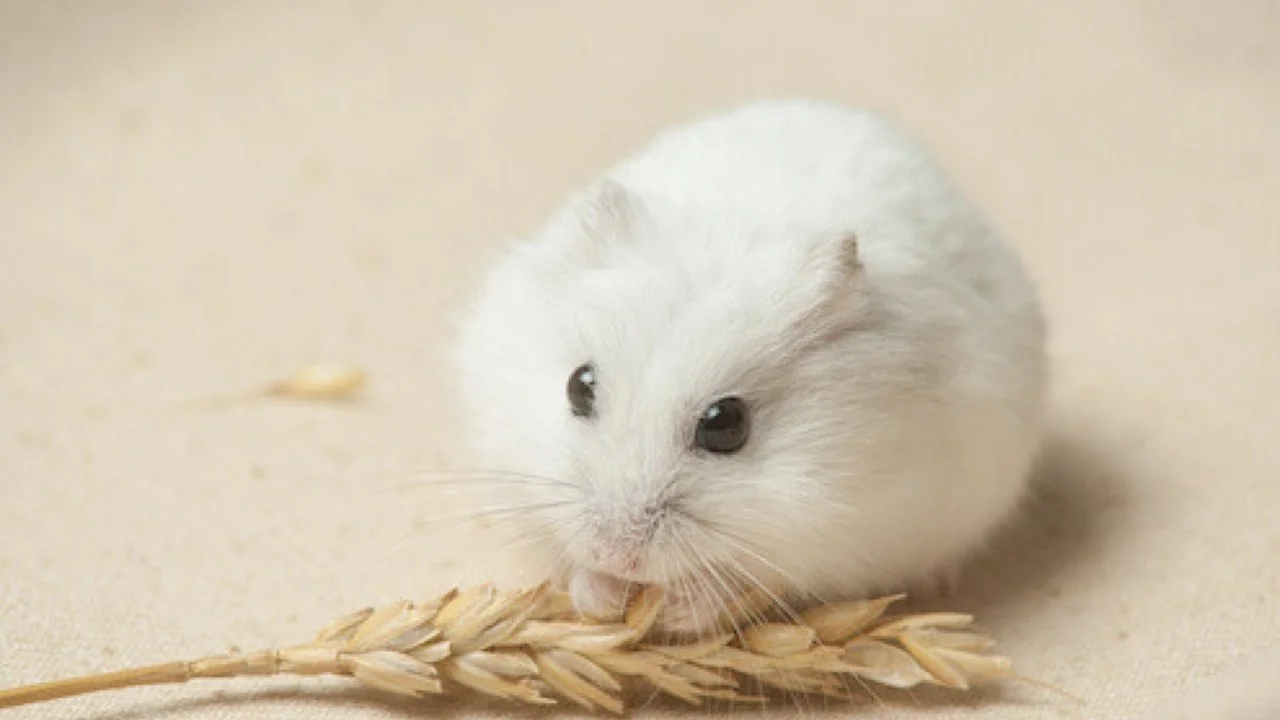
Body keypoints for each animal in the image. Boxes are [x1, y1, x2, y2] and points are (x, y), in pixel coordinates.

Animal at [452, 99, 1047, 635]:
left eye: (726, 425)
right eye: (579, 387)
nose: (617, 555)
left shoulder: (844, 536)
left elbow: (751, 582)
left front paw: (673, 609)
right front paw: (602, 597)